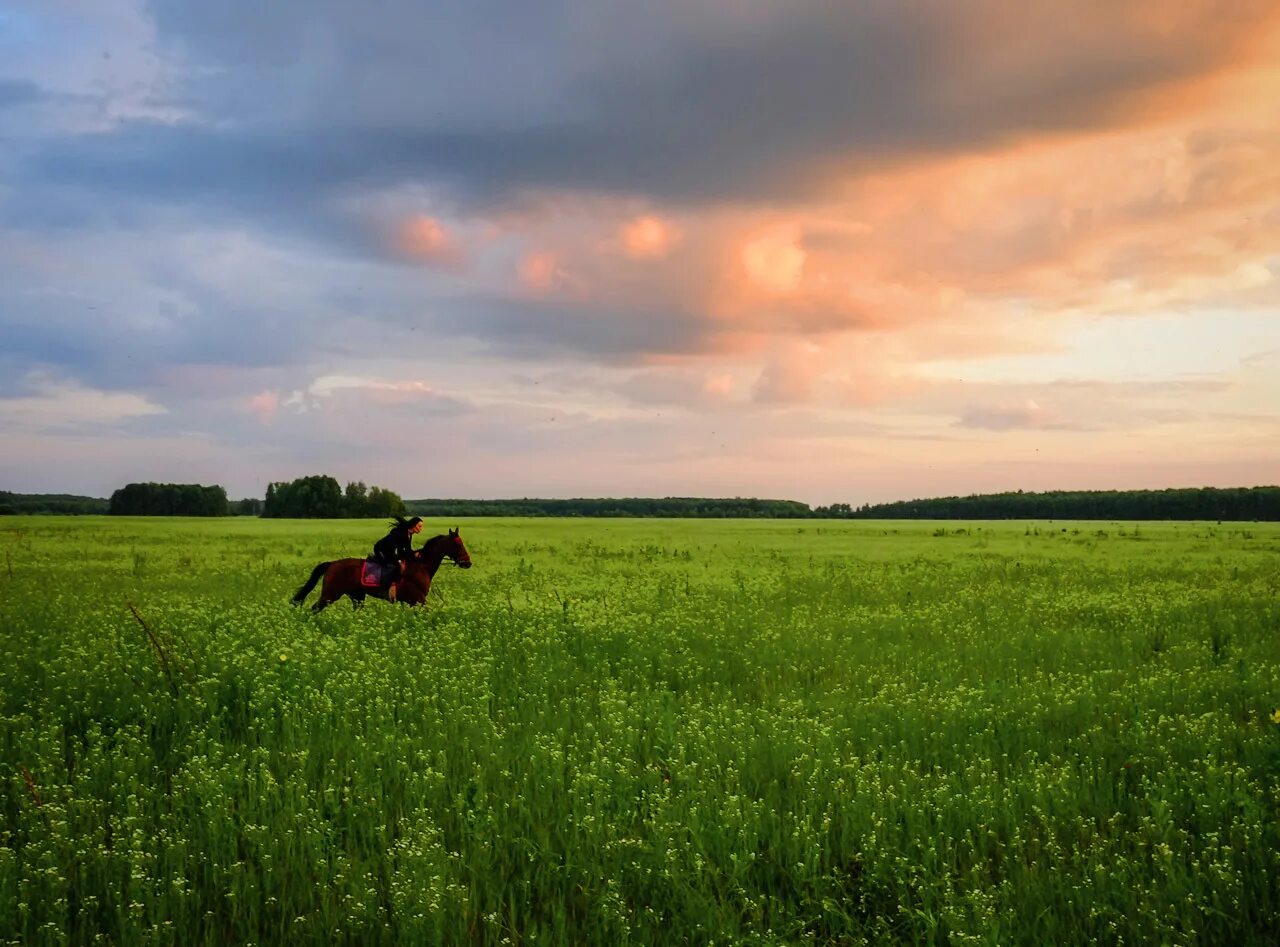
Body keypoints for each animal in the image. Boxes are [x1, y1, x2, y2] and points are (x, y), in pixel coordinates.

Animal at [290, 524, 471, 614]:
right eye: (458, 544)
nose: (468, 563)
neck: (422, 566)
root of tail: (332, 564)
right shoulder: (418, 600)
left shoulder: (414, 602)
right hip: (330, 595)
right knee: (313, 609)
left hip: (357, 596)